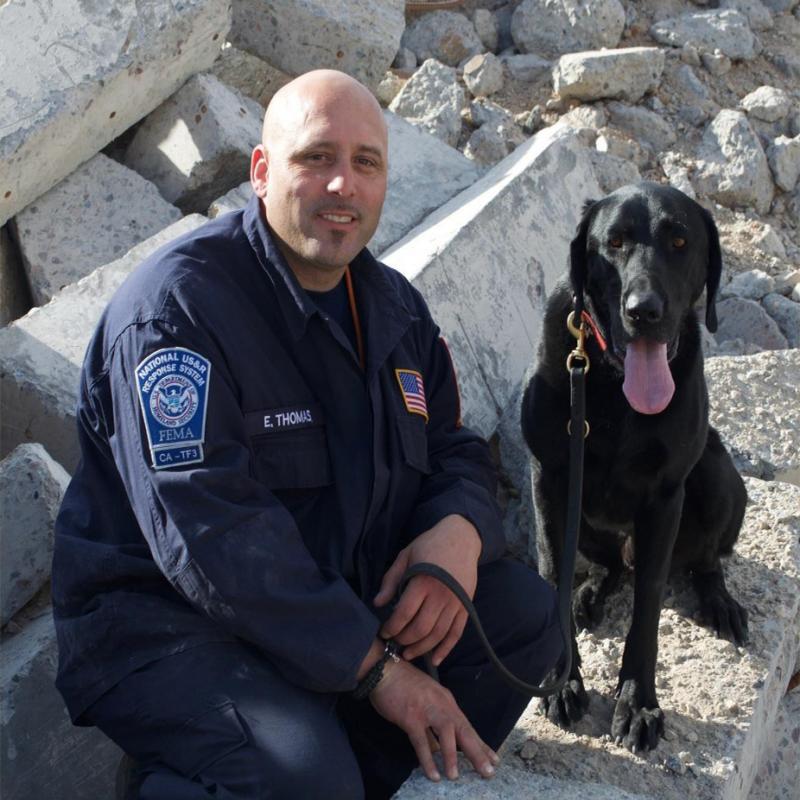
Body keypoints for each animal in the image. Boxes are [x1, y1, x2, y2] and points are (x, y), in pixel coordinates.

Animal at [520, 181, 748, 752]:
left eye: (680, 241)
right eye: (615, 242)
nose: (644, 310)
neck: (611, 382)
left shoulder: (665, 498)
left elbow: (647, 606)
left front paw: (638, 703)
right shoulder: (550, 482)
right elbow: (551, 574)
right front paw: (562, 680)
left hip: (716, 476)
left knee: (702, 559)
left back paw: (720, 602)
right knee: (610, 567)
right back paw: (589, 594)